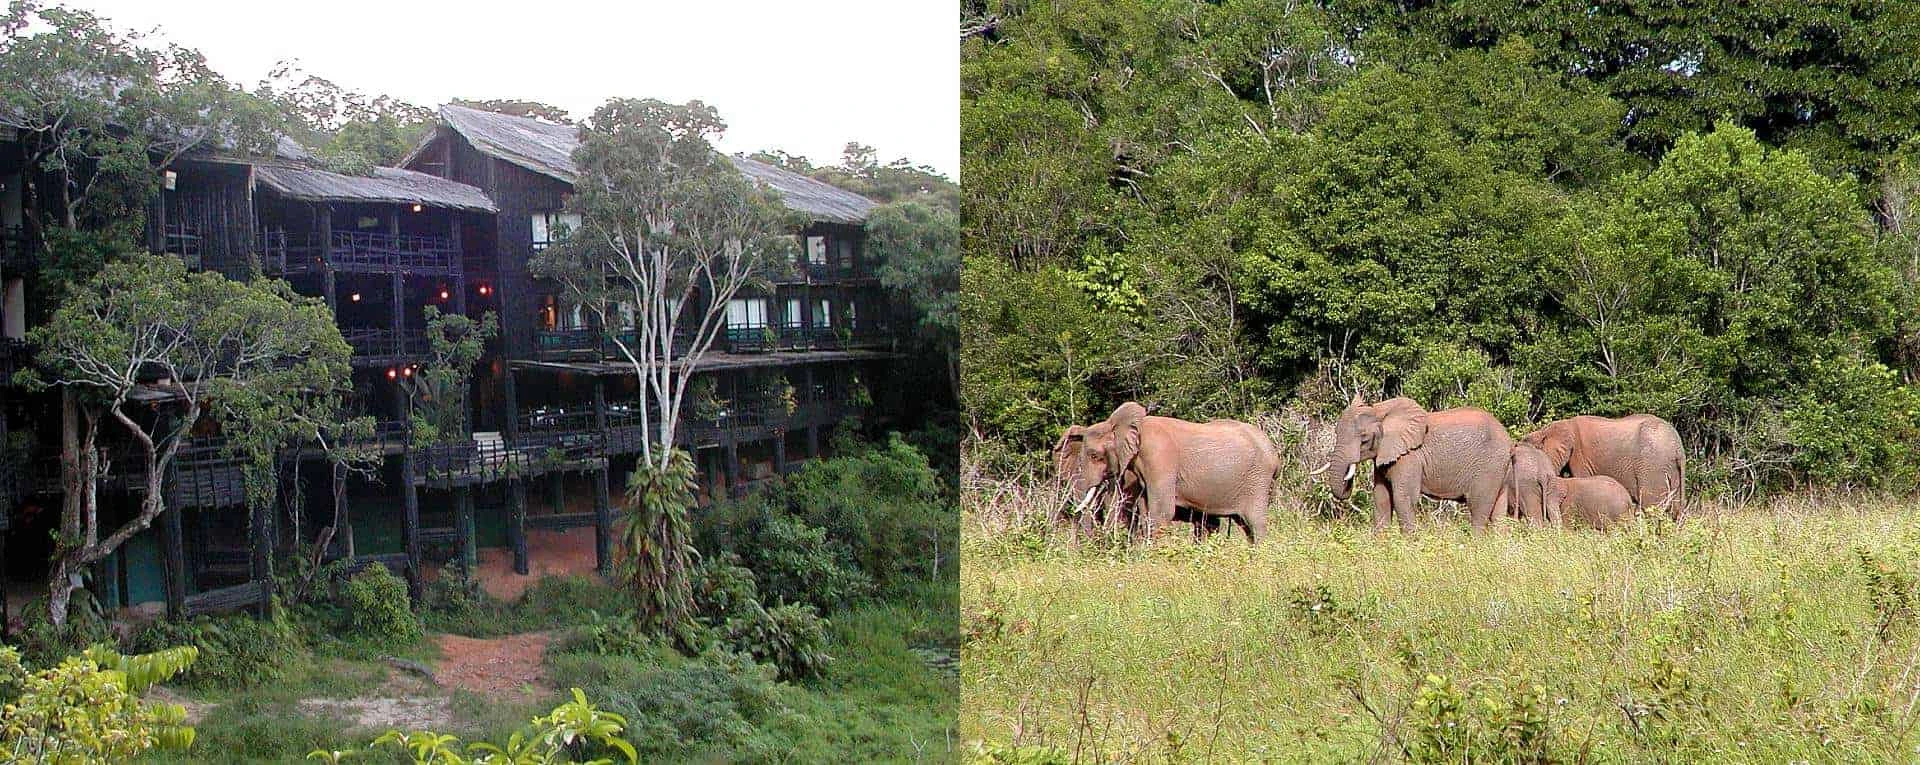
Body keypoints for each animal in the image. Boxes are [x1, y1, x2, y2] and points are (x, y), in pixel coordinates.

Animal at [1052, 403, 1274, 542]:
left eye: (1094, 455)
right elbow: (1146, 510)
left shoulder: (1159, 459)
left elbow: (1161, 512)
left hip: (1258, 480)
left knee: (1255, 524)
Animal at [1328, 394, 1505, 530]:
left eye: (1364, 439)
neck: (1379, 410)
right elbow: (1381, 498)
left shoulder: (1409, 457)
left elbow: (1403, 498)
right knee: (1498, 515)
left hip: (1489, 466)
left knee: (1478, 509)